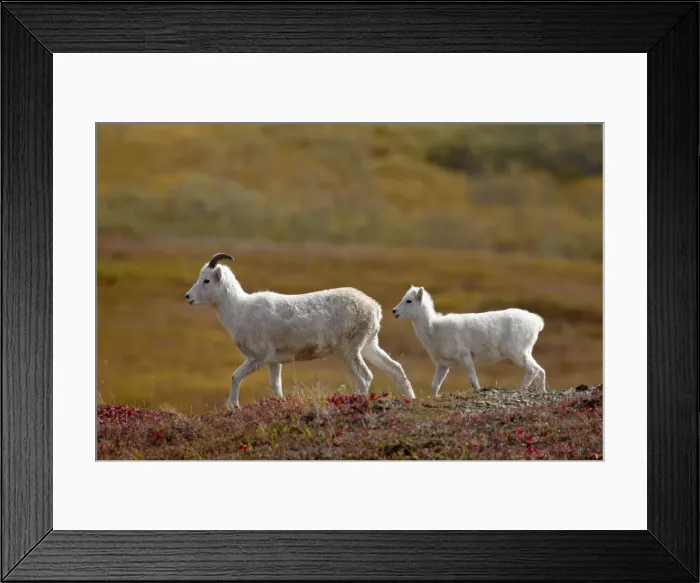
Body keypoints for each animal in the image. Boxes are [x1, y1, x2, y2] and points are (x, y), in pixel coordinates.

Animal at [185, 252, 416, 408]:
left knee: (365, 377)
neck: (240, 309)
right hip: (368, 346)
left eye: (206, 280)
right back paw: (410, 398)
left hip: (349, 351)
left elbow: (235, 377)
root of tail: (374, 307)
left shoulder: (257, 358)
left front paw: (233, 406)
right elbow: (276, 386)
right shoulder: (273, 363)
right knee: (395, 369)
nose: (188, 297)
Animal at [392, 285, 547, 396]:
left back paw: (519, 390)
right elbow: (435, 386)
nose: (394, 311)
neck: (434, 329)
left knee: (533, 370)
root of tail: (537, 322)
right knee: (540, 371)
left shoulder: (466, 358)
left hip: (516, 353)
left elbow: (474, 381)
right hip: (524, 352)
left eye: (409, 301)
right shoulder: (442, 365)